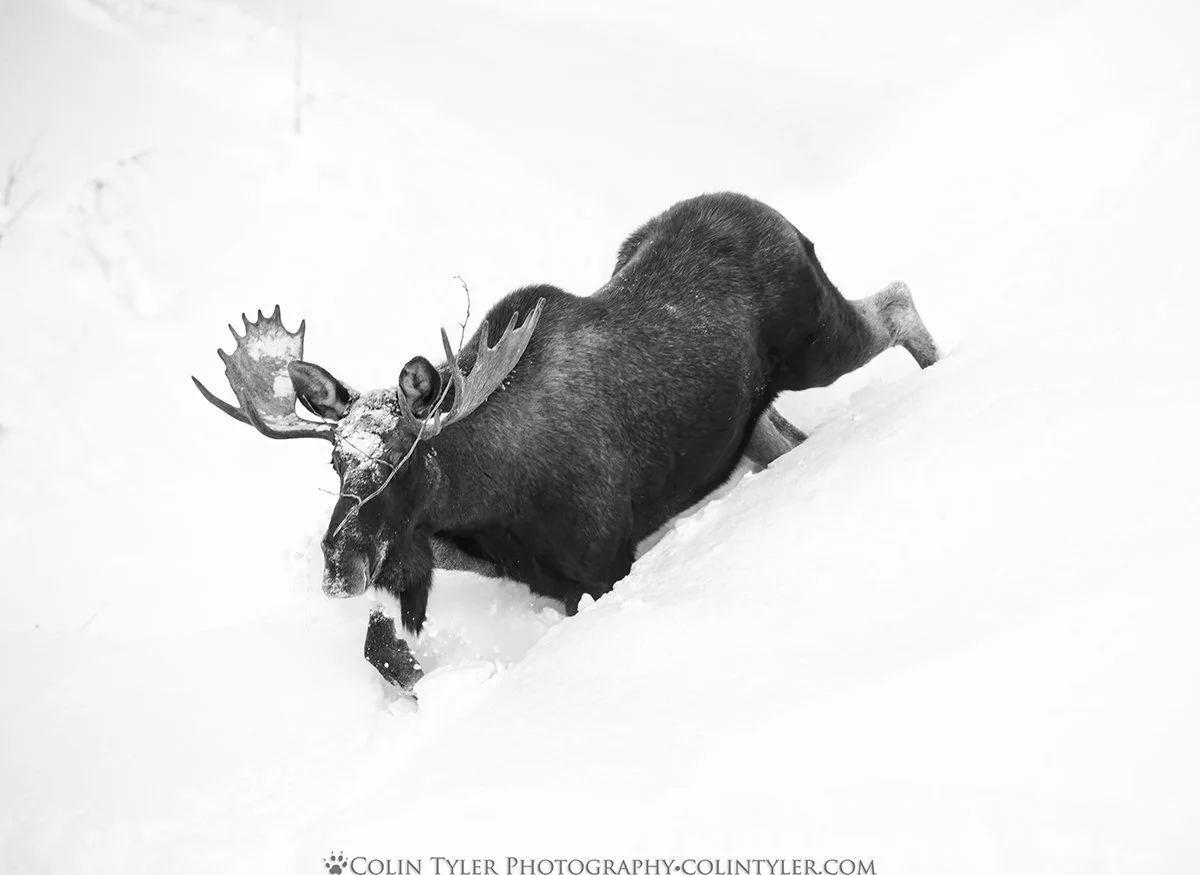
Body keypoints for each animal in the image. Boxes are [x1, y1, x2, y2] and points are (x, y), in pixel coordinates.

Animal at [194, 192, 939, 690]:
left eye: (406, 457)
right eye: (335, 458)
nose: (336, 563)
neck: (491, 502)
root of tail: (777, 215)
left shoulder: (606, 563)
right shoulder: (488, 560)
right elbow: (387, 641)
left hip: (818, 342)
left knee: (898, 300)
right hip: (749, 419)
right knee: (789, 438)